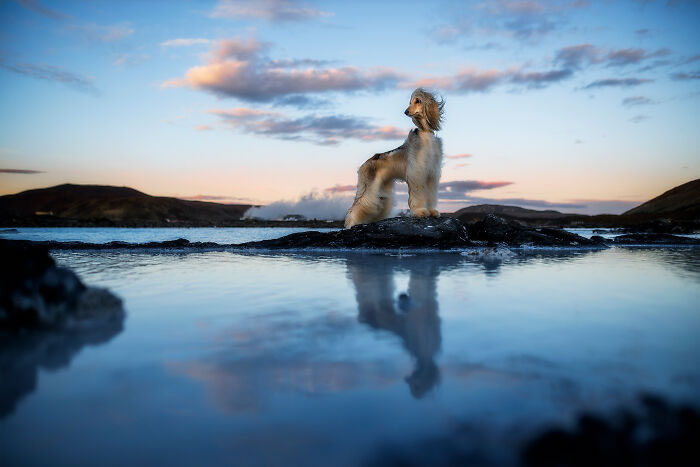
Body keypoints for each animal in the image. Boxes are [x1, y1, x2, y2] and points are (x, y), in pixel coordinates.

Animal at [344, 88, 442, 229]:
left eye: (417, 101)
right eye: (410, 101)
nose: (406, 112)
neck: (425, 134)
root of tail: (364, 164)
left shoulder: (431, 173)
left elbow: (431, 193)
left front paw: (432, 211)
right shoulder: (417, 172)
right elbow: (418, 193)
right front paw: (421, 211)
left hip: (382, 188)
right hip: (368, 187)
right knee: (357, 206)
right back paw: (351, 224)